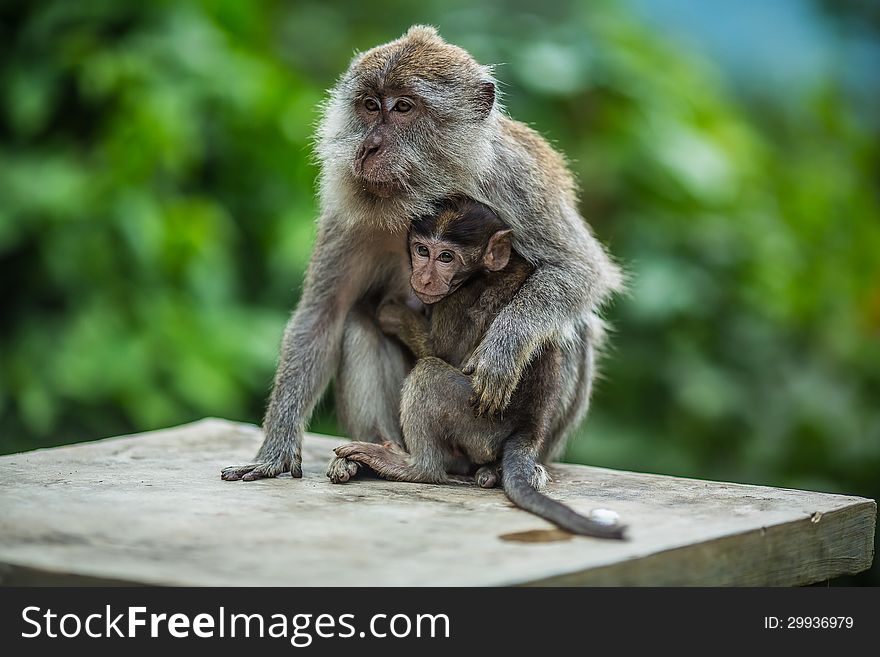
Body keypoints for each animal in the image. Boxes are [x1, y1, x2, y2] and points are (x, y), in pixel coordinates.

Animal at [220, 25, 624, 482]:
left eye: (403, 107)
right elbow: (323, 314)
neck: (427, 192)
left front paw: (504, 349)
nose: (368, 148)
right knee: (359, 319)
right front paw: (275, 451)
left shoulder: (513, 180)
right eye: (370, 105)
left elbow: (577, 268)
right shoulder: (347, 212)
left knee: (573, 327)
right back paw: (379, 452)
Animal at [332, 196, 624, 540]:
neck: (479, 272)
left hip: (478, 423)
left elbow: (439, 350)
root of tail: (528, 429)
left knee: (428, 375)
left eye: (446, 257)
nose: (425, 278)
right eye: (422, 250)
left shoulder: (456, 301)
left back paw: (416, 467)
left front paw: (392, 314)